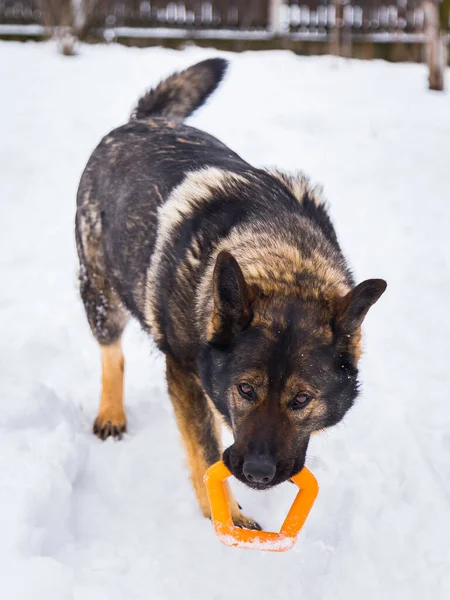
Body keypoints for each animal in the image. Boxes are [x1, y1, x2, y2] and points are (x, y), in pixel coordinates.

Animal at [76, 57, 386, 528]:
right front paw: (225, 516)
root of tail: (139, 121)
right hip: (101, 295)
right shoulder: (183, 372)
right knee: (112, 351)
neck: (285, 260)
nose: (257, 473)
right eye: (245, 390)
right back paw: (112, 412)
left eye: (301, 399)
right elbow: (204, 450)